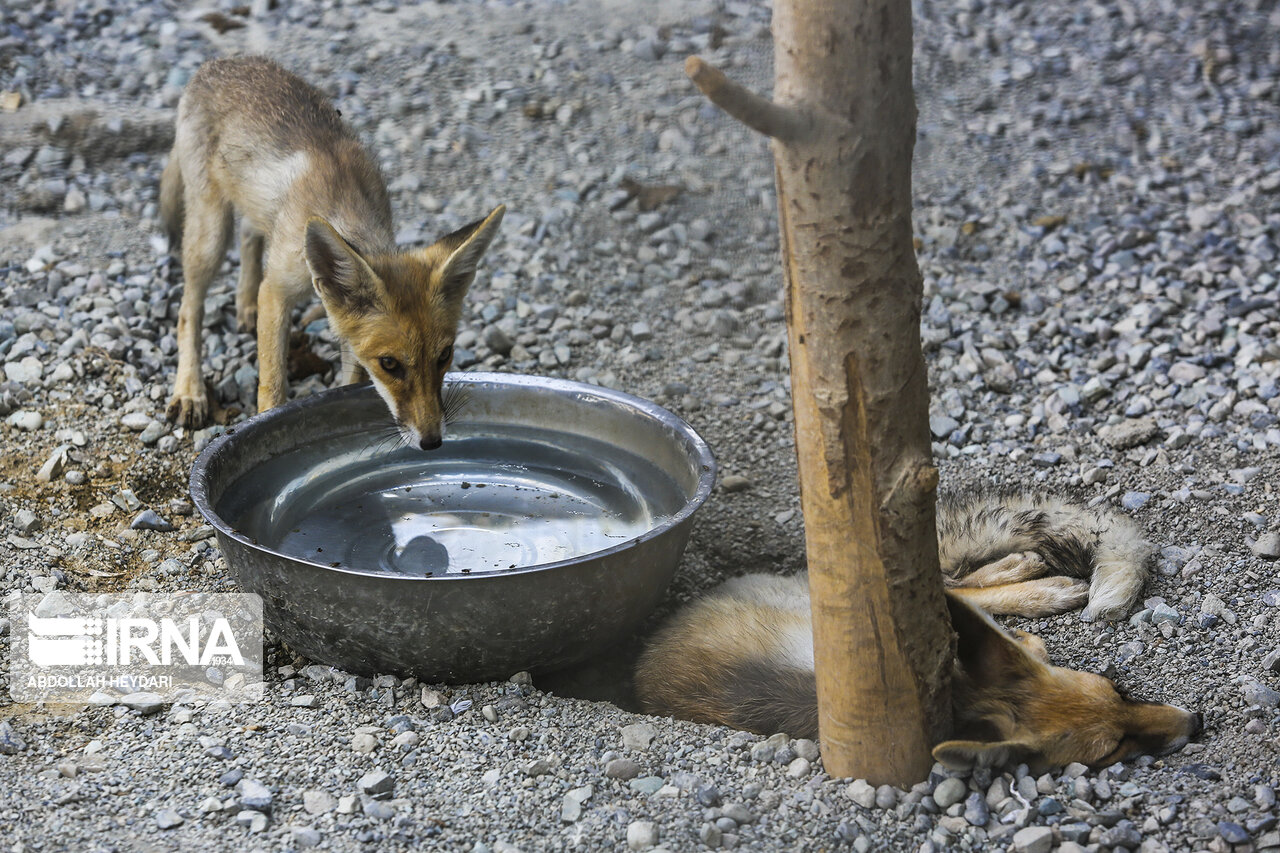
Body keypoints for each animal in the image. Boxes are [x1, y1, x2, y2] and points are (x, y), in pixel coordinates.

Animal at [158, 55, 499, 448]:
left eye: (444, 356)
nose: (431, 441)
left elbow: (349, 381)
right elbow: (272, 383)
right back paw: (189, 391)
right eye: (390, 364)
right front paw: (264, 422)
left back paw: (245, 305)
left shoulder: (347, 328)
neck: (341, 208)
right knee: (188, 310)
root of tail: (218, 63)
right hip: (211, 233)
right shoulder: (277, 291)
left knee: (250, 237)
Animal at [634, 489, 1203, 768]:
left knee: (956, 586)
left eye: (1117, 688)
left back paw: (1026, 573)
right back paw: (1038, 584)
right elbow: (1018, 637)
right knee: (960, 590)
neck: (955, 692)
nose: (1196, 721)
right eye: (1112, 750)